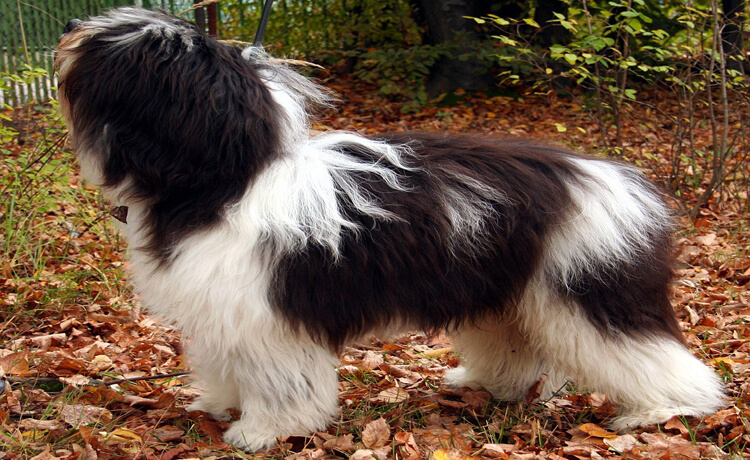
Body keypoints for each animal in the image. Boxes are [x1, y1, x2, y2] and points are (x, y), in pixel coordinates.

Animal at [55, 8, 724, 452]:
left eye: (139, 51)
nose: (73, 27)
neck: (225, 180)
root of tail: (614, 177)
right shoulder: (226, 312)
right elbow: (226, 366)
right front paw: (221, 404)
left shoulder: (269, 319)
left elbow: (280, 384)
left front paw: (261, 430)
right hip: (508, 294)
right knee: (515, 345)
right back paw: (484, 382)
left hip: (590, 290)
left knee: (652, 354)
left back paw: (666, 409)